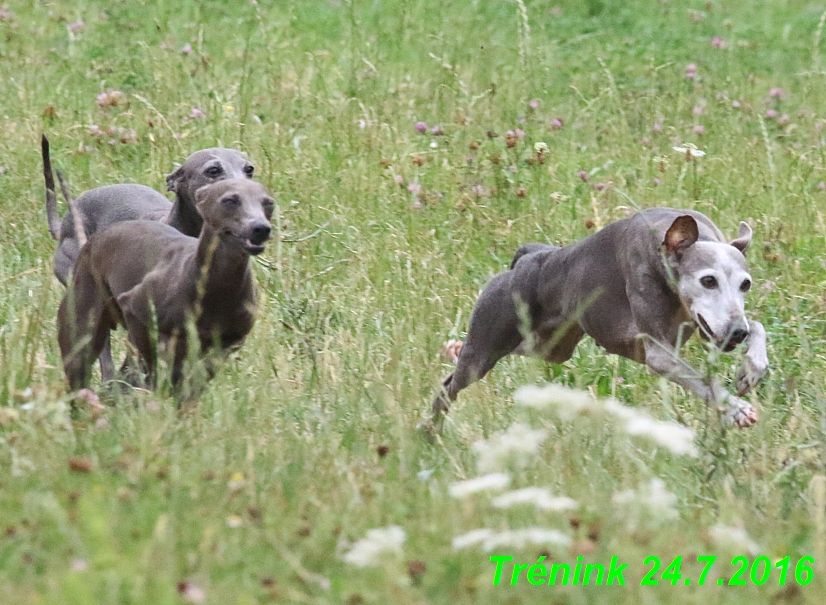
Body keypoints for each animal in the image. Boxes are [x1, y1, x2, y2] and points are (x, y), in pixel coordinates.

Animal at [424, 208, 768, 434]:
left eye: (746, 284)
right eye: (708, 280)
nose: (736, 332)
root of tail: (527, 258)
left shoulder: (707, 328)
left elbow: (758, 327)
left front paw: (751, 370)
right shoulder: (659, 353)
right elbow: (701, 379)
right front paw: (735, 409)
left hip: (549, 347)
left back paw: (452, 353)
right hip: (485, 350)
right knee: (449, 386)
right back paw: (430, 429)